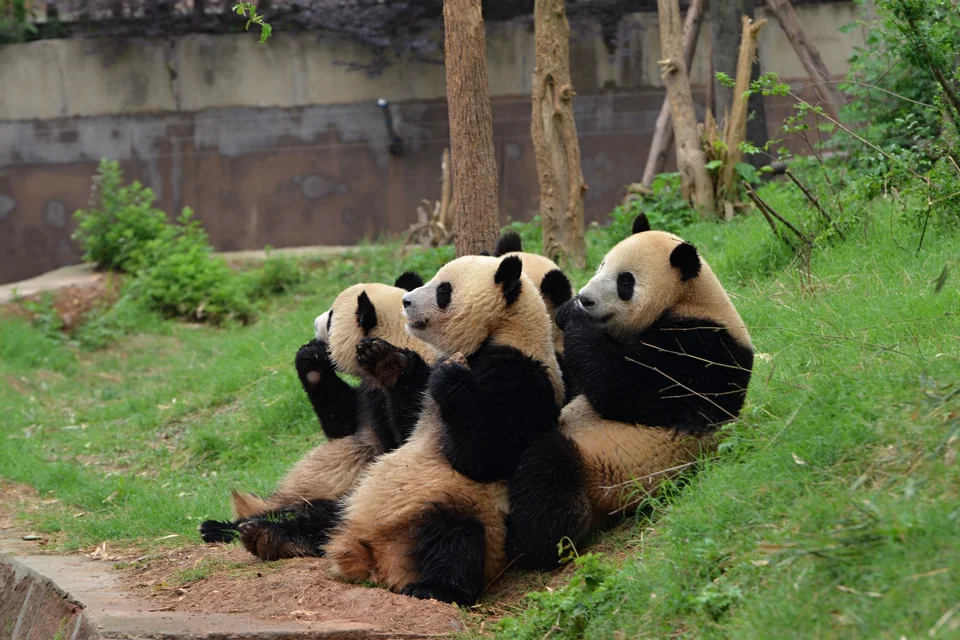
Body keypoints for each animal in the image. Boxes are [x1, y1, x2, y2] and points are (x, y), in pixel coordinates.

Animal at [198, 273, 440, 558]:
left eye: (332, 316)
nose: (314, 323)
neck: (402, 337)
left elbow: (407, 440)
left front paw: (390, 365)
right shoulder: (366, 399)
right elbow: (343, 424)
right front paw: (311, 361)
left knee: (329, 516)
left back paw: (269, 534)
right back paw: (224, 526)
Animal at [261, 254, 564, 605]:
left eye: (443, 291)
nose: (407, 301)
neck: (503, 331)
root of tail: (374, 554)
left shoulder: (518, 370)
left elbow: (487, 456)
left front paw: (450, 377)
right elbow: (394, 432)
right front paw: (378, 363)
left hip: (462, 510)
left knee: (456, 539)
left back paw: (433, 588)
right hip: (351, 506)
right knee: (321, 516)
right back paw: (266, 533)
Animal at [505, 214, 755, 570]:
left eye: (625, 282)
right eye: (602, 264)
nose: (585, 298)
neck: (690, 299)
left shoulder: (702, 349)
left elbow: (623, 387)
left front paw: (575, 316)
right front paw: (566, 310)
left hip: (605, 470)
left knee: (548, 472)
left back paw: (531, 545)